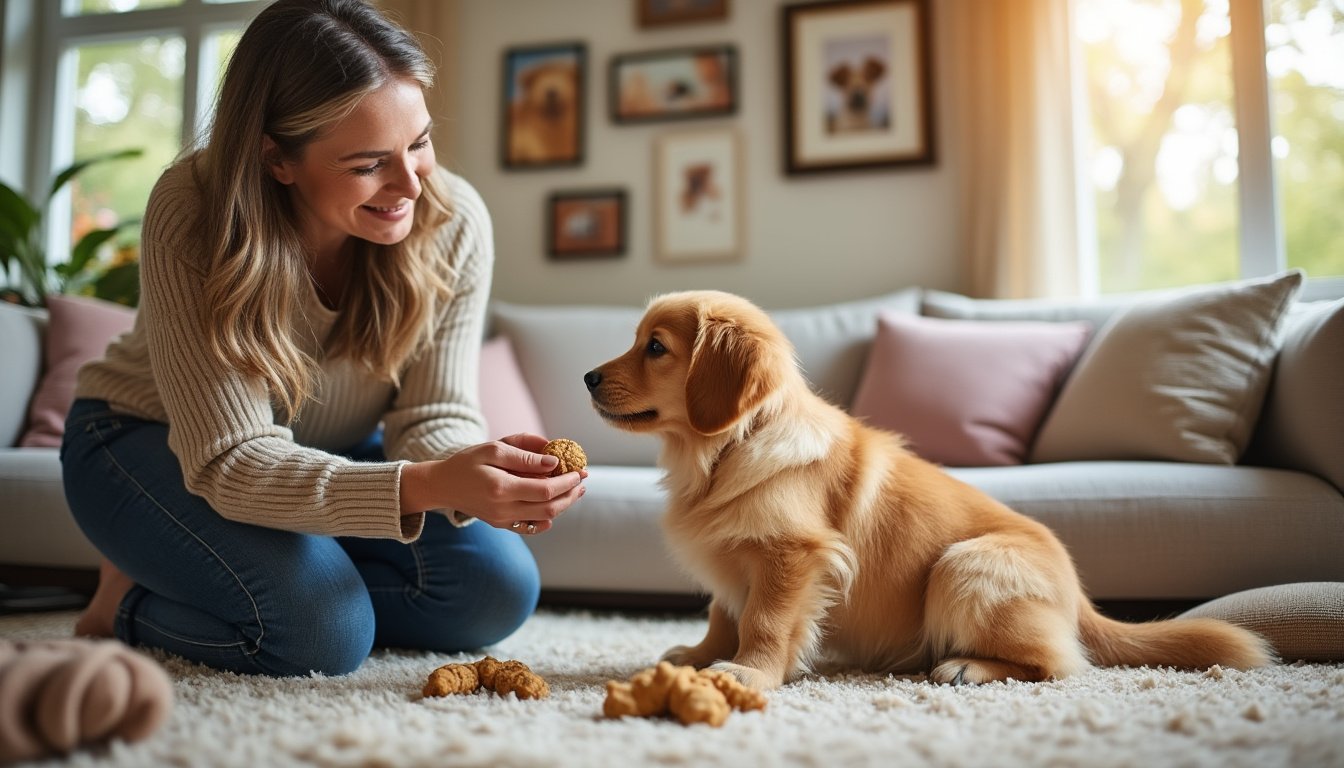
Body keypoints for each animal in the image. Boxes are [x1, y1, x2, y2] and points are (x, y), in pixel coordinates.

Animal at [585, 290, 1268, 688]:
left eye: (655, 348)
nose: (587, 376)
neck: (727, 449)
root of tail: (1079, 600)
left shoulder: (791, 555)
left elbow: (765, 622)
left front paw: (748, 673)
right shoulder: (732, 557)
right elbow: (724, 614)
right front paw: (700, 656)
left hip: (962, 567)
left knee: (1058, 665)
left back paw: (967, 665)